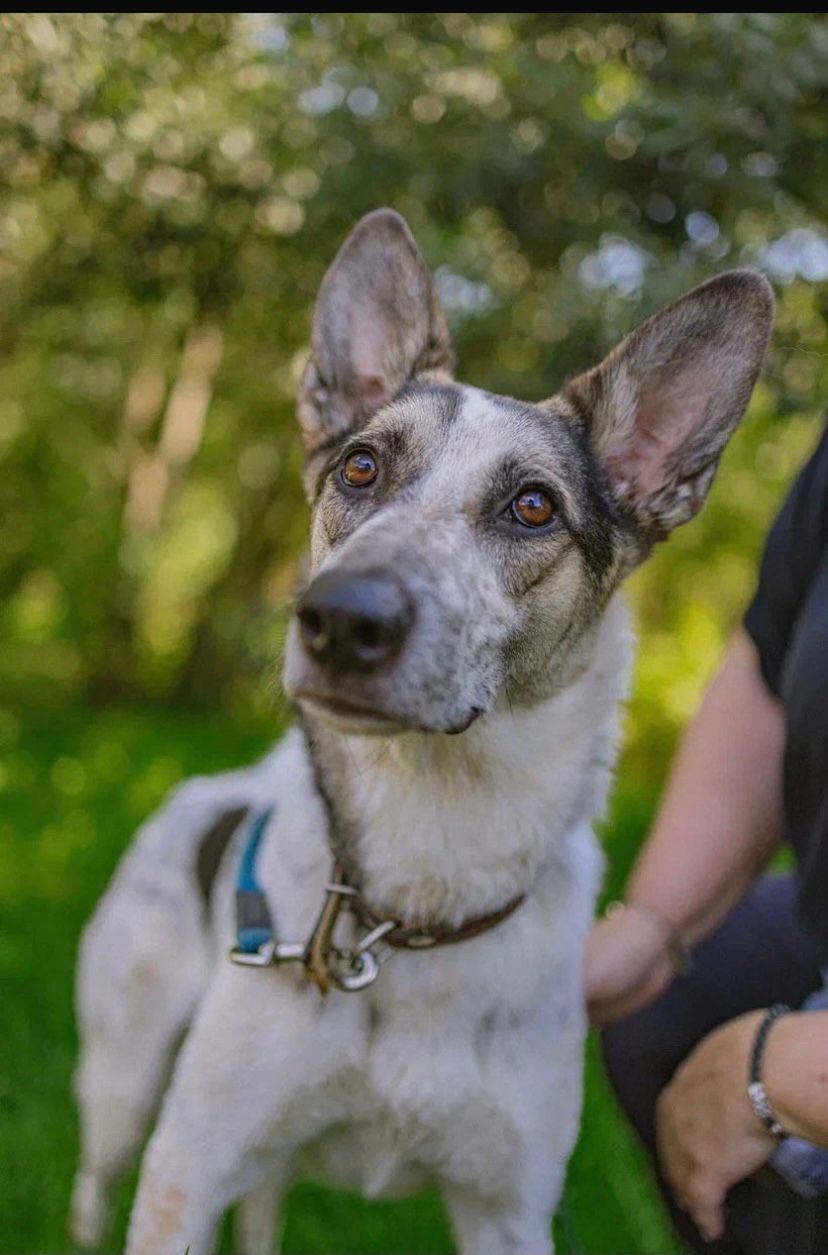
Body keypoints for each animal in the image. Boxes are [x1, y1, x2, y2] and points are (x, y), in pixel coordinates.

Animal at [68, 210, 772, 1249]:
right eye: (360, 466)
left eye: (533, 506)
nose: (339, 620)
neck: (414, 903)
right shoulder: (186, 1172)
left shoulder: (509, 1208)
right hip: (125, 1081)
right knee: (95, 1173)